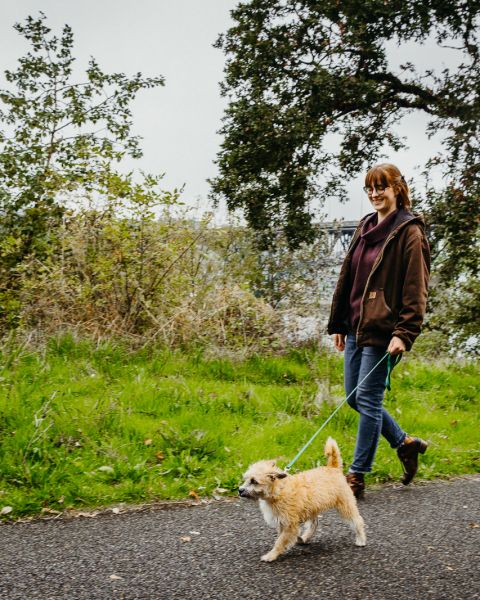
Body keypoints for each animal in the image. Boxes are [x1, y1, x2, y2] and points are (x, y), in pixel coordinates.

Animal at [238, 436, 366, 564]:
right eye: (246, 479)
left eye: (254, 481)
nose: (240, 490)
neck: (279, 491)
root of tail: (333, 468)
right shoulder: (282, 522)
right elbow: (281, 537)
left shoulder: (289, 525)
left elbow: (280, 542)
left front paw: (271, 555)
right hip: (312, 508)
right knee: (314, 524)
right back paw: (304, 538)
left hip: (345, 505)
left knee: (357, 521)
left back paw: (361, 539)